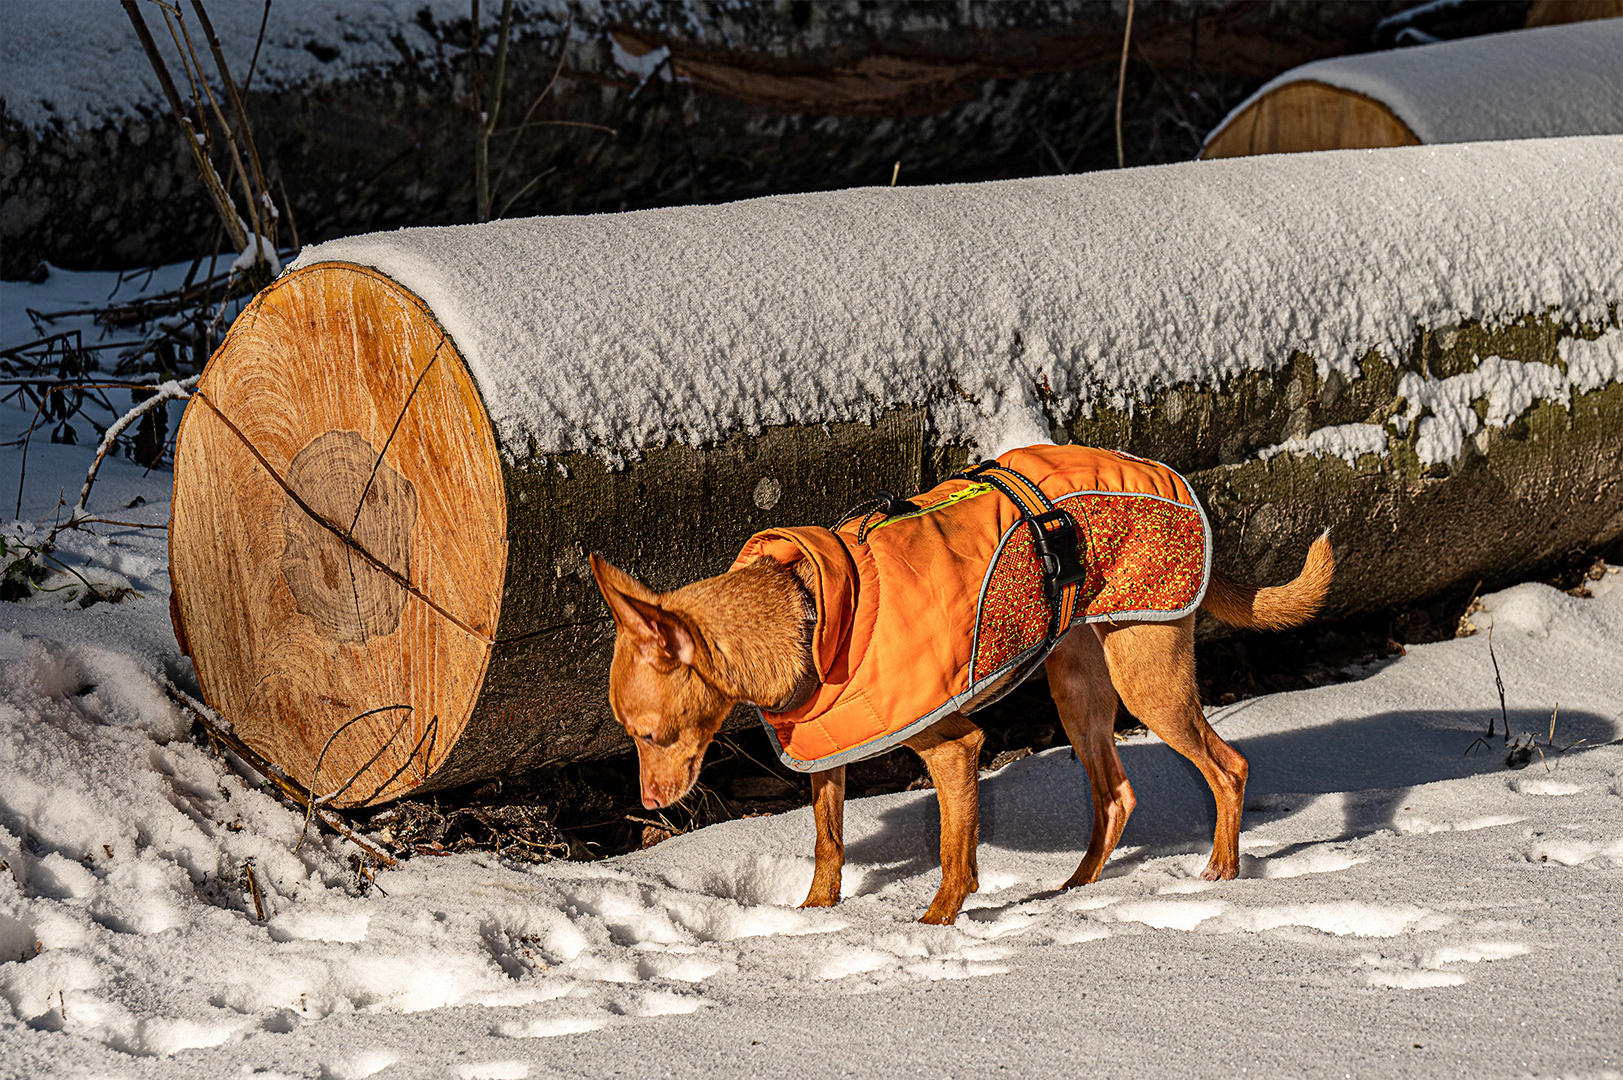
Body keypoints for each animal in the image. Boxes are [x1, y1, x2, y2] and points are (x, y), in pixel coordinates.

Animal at [594, 483, 1330, 922]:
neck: (806, 610)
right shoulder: (831, 753)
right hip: (1077, 691)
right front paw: (815, 916)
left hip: (1147, 684)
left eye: (651, 735)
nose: (649, 805)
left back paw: (1220, 873)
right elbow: (829, 842)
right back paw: (1075, 888)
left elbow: (955, 854)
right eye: (629, 737)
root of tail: (1161, 473)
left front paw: (934, 926)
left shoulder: (954, 747)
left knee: (1227, 768)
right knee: (1116, 794)